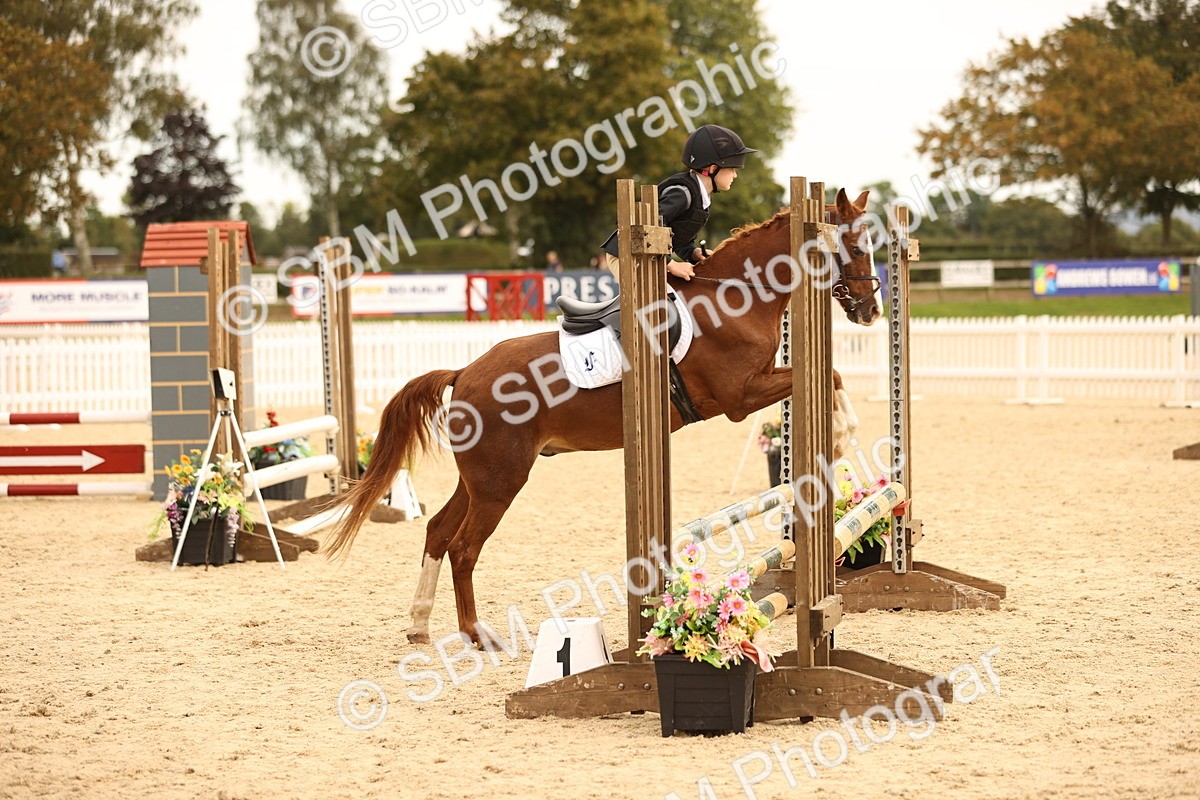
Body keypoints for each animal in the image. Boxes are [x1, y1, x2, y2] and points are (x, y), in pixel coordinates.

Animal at [323, 188, 881, 644]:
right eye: (854, 248)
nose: (871, 311)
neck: (734, 296)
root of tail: (464, 373)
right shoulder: (739, 399)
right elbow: (830, 377)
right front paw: (840, 435)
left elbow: (829, 375)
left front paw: (840, 438)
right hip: (501, 479)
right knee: (462, 547)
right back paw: (476, 634)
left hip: (481, 477)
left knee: (438, 531)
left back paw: (419, 622)